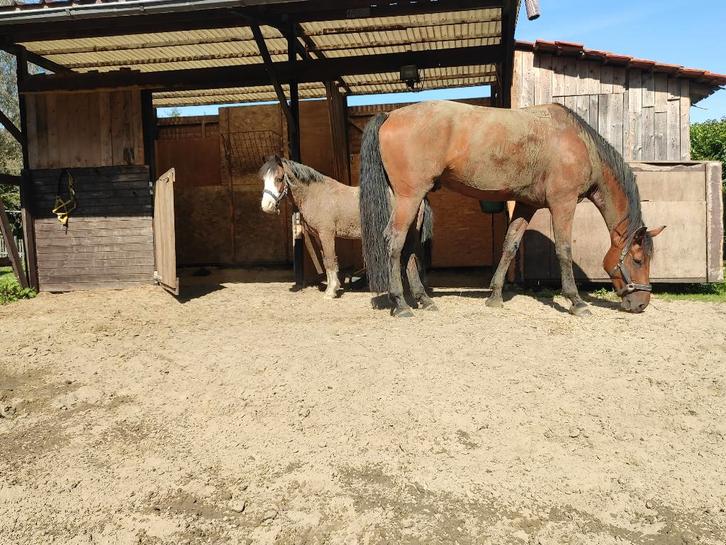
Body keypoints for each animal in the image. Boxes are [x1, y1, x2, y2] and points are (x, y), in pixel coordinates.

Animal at [259, 155, 434, 303]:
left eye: (279, 178)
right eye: (263, 180)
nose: (266, 206)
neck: (317, 195)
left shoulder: (327, 234)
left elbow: (330, 260)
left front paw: (330, 292)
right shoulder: (318, 237)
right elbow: (325, 261)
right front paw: (333, 287)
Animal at [359, 100, 665, 318]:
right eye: (638, 260)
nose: (641, 304)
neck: (579, 143)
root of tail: (390, 115)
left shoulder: (526, 205)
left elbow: (510, 245)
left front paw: (494, 296)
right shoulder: (563, 203)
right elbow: (564, 250)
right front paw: (576, 302)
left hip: (415, 201)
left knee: (409, 247)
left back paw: (424, 300)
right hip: (409, 197)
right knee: (395, 241)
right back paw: (401, 305)